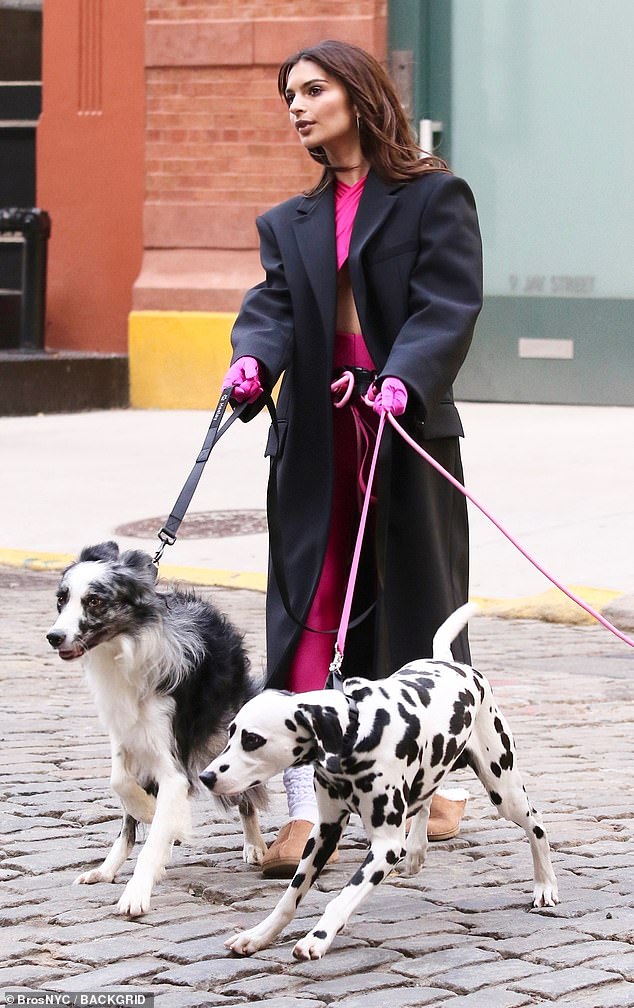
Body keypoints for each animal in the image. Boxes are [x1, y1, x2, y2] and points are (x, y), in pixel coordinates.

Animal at [46, 540, 266, 919]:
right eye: (62, 599)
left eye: (95, 601)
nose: (54, 636)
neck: (122, 650)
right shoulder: (126, 736)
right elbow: (120, 784)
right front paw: (149, 812)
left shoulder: (172, 762)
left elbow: (161, 819)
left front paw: (136, 893)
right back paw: (106, 869)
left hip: (224, 739)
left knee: (245, 795)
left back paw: (254, 844)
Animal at [200, 600, 556, 963]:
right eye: (231, 731)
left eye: (253, 740)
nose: (206, 776)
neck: (357, 733)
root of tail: (454, 664)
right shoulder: (323, 832)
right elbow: (290, 896)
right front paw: (260, 935)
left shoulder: (384, 846)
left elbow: (343, 898)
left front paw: (318, 938)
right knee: (426, 798)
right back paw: (416, 850)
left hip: (504, 791)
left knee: (536, 824)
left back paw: (545, 885)